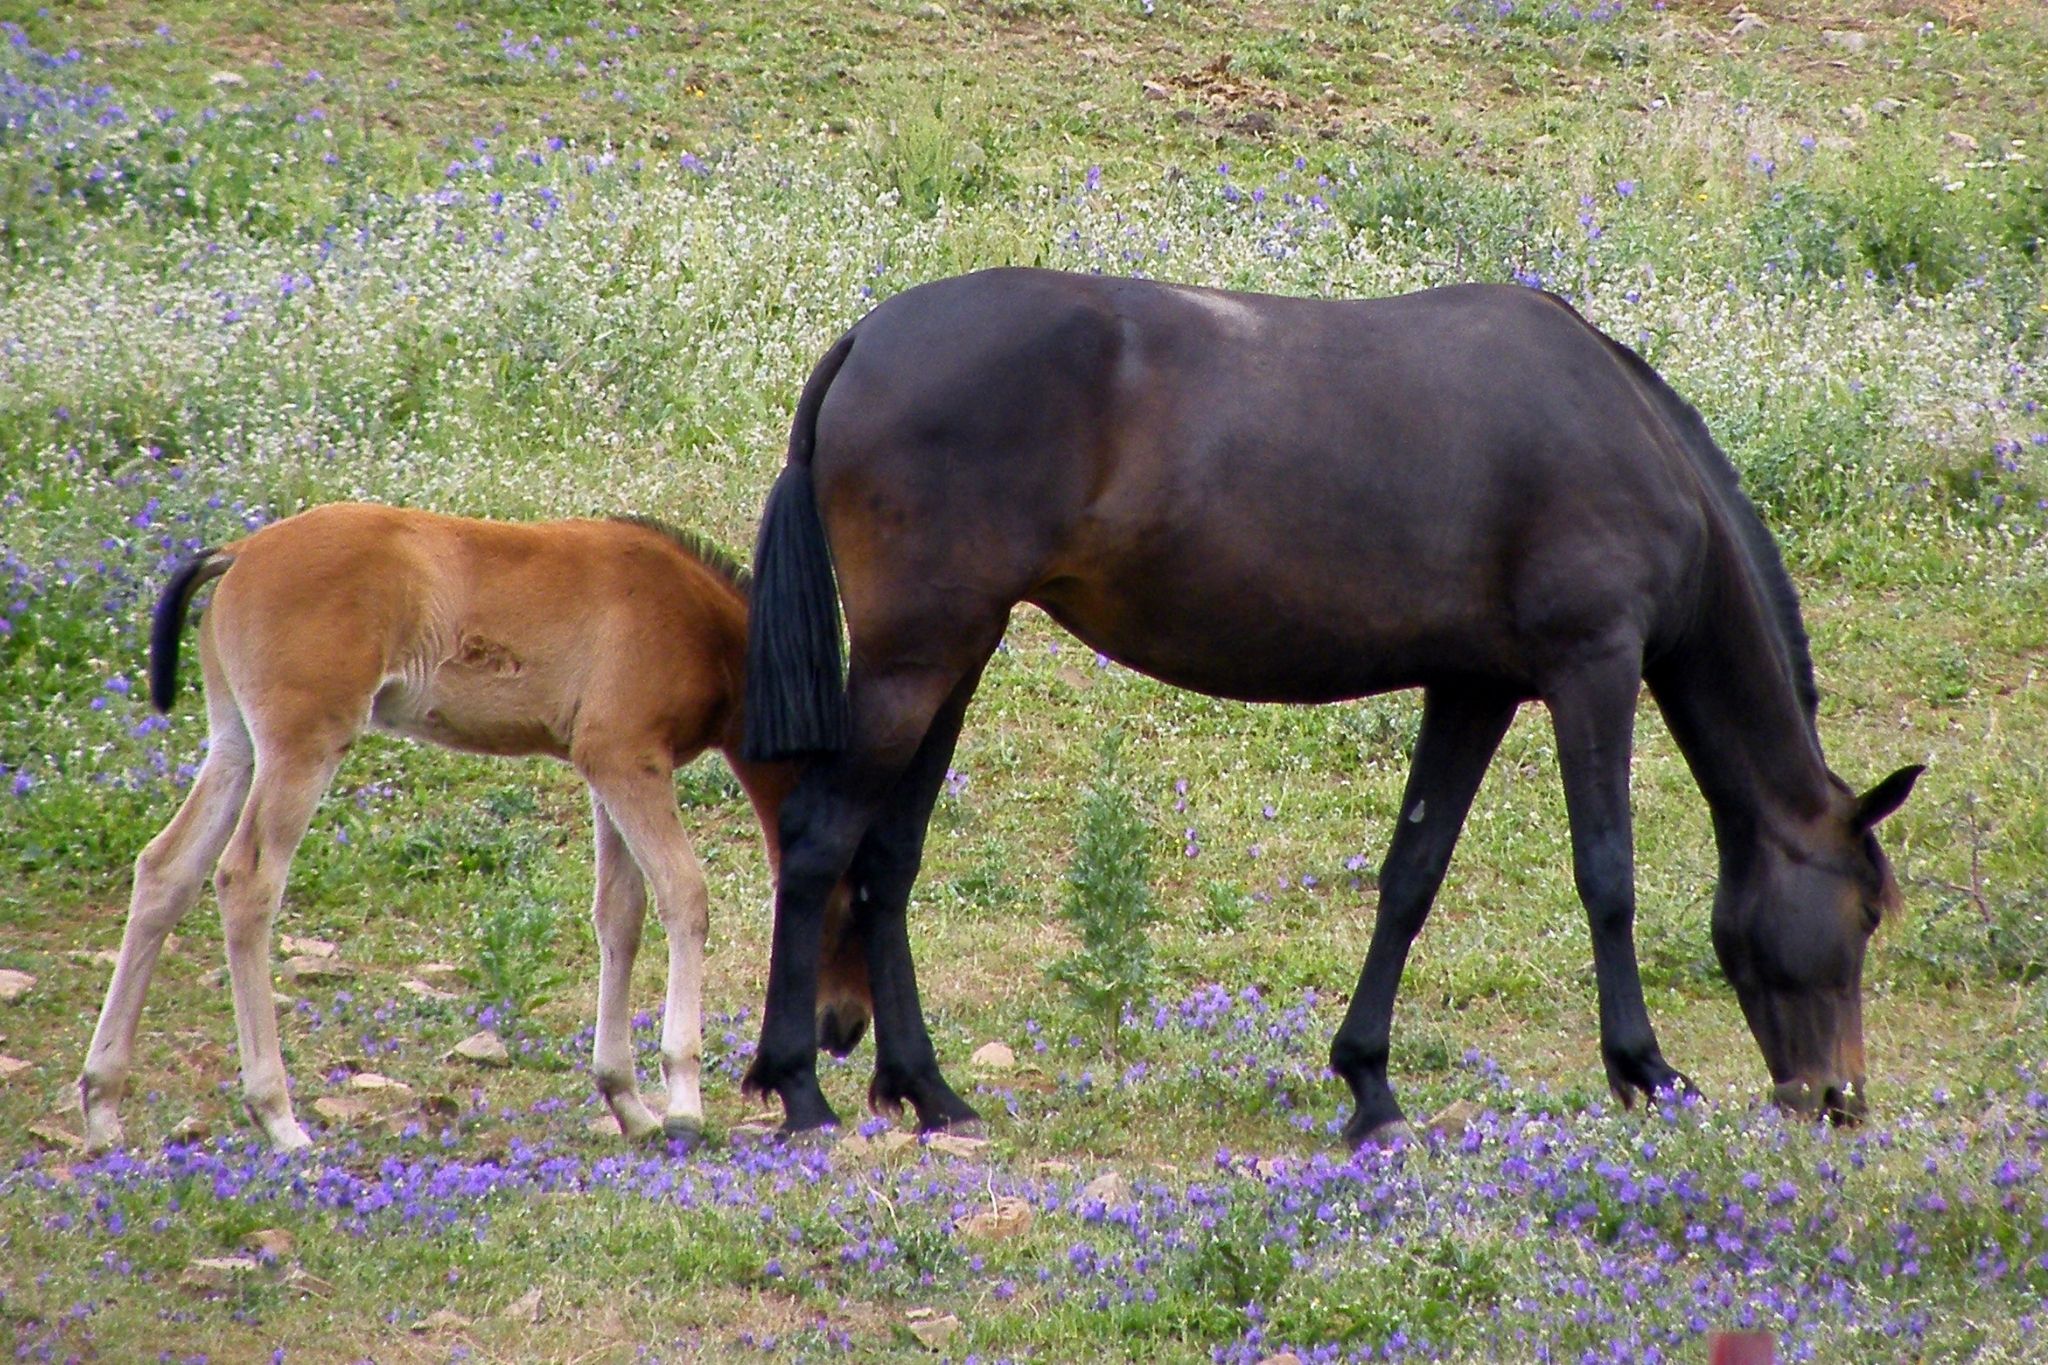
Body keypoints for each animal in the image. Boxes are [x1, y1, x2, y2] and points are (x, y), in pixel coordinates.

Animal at [737, 266, 1916, 1146]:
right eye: (1863, 910)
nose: (1837, 1097)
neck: (1620, 427)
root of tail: (864, 340)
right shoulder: (1593, 665)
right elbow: (1606, 875)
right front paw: (1643, 1066)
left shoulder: (1474, 687)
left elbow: (1410, 876)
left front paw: (1368, 1084)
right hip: (916, 661)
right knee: (820, 836)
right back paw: (797, 1087)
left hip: (953, 657)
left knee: (887, 858)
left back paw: (928, 1090)